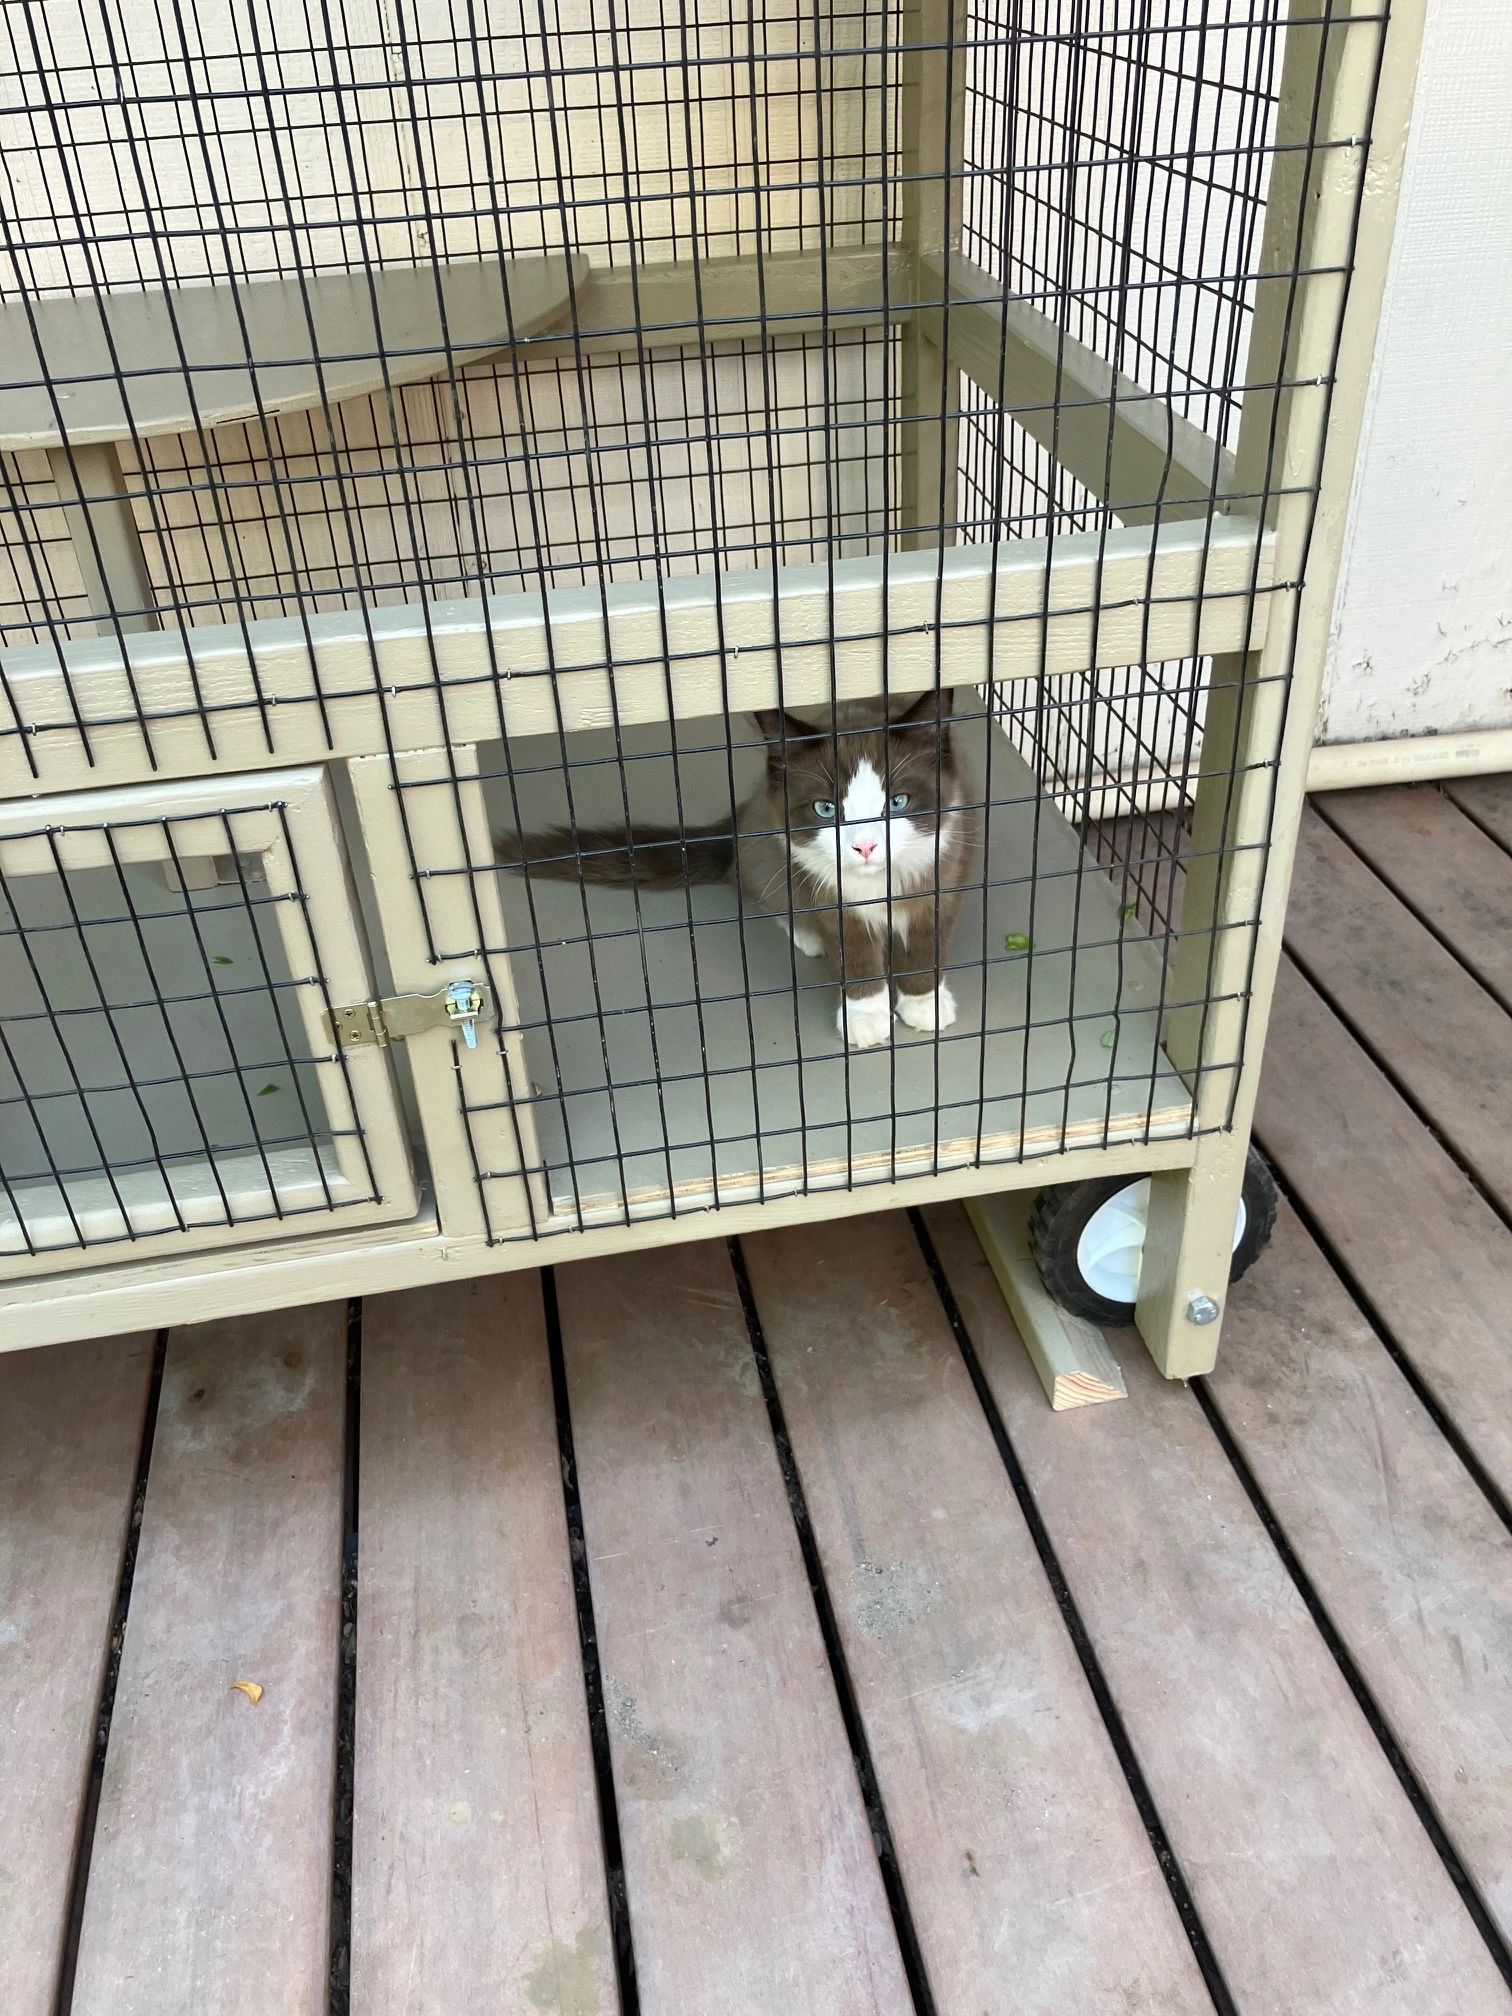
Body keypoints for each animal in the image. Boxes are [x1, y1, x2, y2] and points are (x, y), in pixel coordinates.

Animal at [491, 685, 975, 1048]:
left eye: (897, 802)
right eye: (825, 809)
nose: (865, 846)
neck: (879, 888)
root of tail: (742, 815)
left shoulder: (944, 871)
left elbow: (927, 945)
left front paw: (924, 1003)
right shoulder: (825, 889)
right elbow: (853, 951)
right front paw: (866, 1017)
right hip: (770, 854)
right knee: (755, 888)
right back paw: (807, 935)